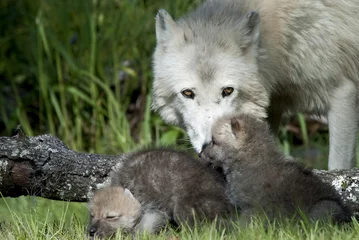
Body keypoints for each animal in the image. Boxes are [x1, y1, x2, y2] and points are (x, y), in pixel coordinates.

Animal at [152, 0, 359, 170]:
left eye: (228, 91)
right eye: (187, 93)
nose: (211, 146)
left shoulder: (343, 94)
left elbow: (337, 167)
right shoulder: (272, 110)